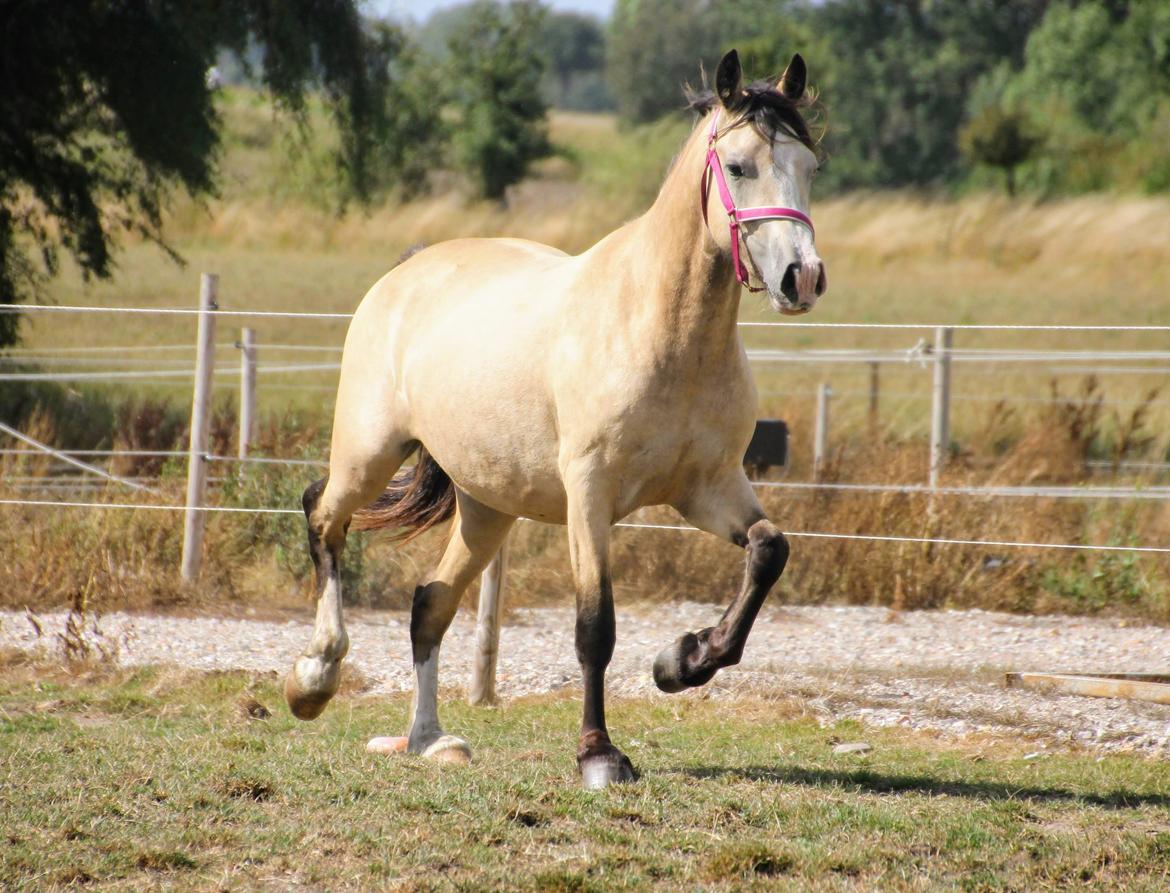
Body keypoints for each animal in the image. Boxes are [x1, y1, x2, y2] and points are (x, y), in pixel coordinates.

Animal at [286, 50, 828, 791]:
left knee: (429, 602)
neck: (661, 329)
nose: (803, 277)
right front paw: (599, 754)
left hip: (487, 504)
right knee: (322, 513)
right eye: (741, 165)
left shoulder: (708, 487)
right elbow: (594, 625)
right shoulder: (590, 493)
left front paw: (682, 660)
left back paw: (430, 740)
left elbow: (770, 550)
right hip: (370, 452)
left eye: (810, 166)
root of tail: (408, 271)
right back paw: (314, 676)